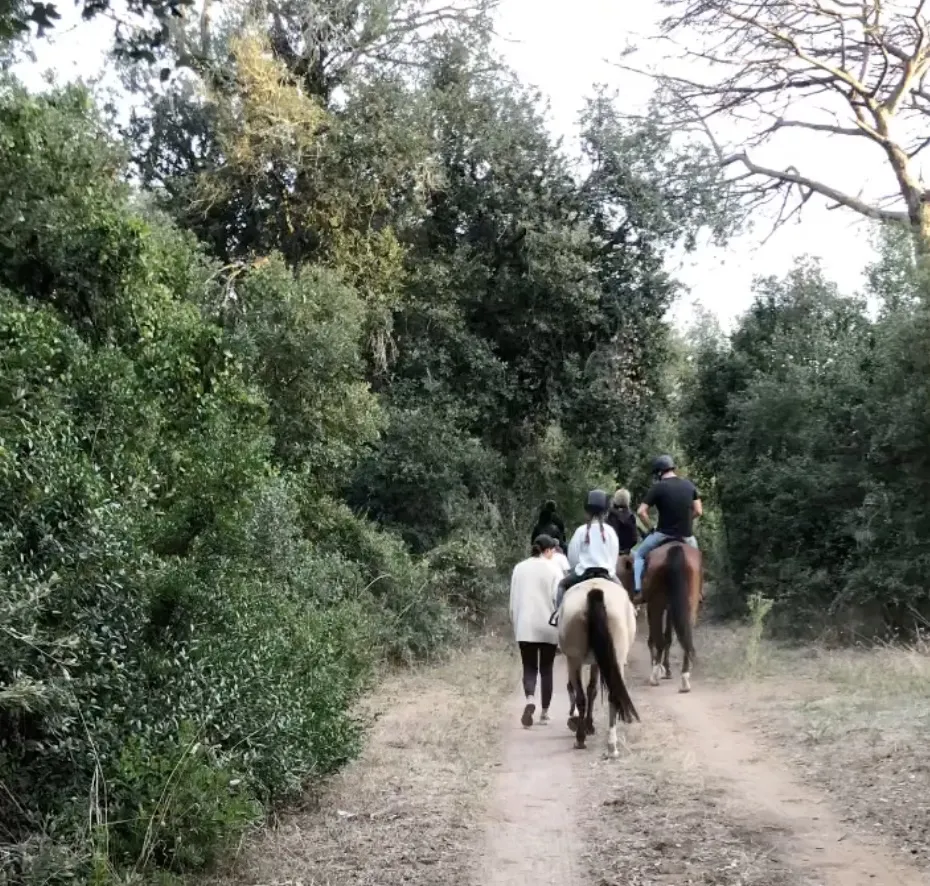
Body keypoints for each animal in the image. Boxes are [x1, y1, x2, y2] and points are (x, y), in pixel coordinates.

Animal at [558, 576, 639, 757]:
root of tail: (595, 591)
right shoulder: (597, 661)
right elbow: (592, 690)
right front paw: (589, 725)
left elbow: (590, 691)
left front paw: (586, 725)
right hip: (616, 658)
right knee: (613, 696)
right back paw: (611, 746)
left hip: (573, 660)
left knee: (581, 697)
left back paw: (580, 738)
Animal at [642, 541, 702, 693]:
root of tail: (676, 548)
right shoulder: (672, 607)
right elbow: (669, 637)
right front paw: (667, 669)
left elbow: (660, 638)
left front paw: (662, 668)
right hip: (690, 604)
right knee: (686, 636)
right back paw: (685, 679)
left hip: (655, 605)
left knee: (658, 638)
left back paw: (655, 675)